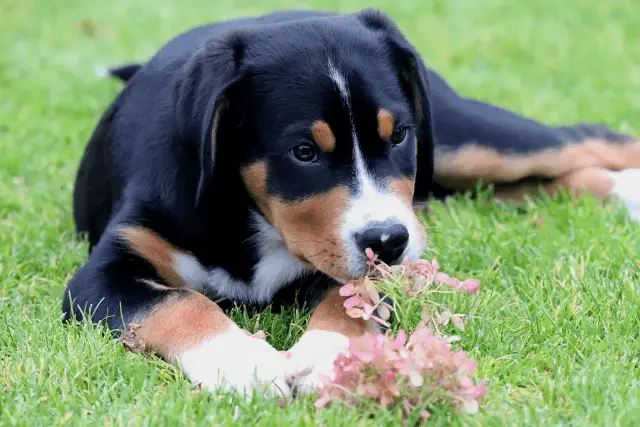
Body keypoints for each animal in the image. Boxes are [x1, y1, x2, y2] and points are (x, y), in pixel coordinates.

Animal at [61, 8, 640, 400]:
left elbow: (351, 299)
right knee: (542, 178)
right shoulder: (101, 276)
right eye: (304, 151)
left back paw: (628, 188)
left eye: (398, 134)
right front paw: (245, 362)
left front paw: (327, 356)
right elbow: (181, 304)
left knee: (581, 139)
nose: (389, 241)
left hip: (463, 138)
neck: (251, 220)